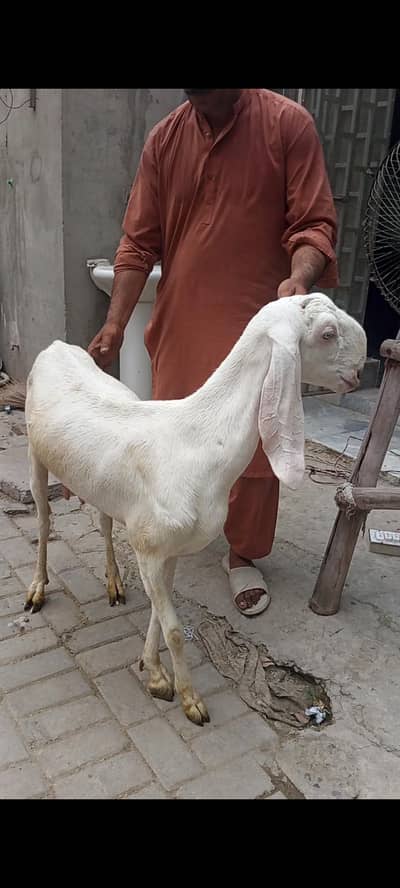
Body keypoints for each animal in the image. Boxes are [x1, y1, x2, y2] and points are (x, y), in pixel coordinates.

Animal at [25, 293, 366, 724]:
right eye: (327, 333)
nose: (359, 371)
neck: (198, 442)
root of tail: (57, 346)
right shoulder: (150, 547)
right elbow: (173, 628)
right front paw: (188, 698)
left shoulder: (165, 549)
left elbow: (159, 614)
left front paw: (154, 673)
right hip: (34, 455)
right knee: (42, 520)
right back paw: (37, 590)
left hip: (98, 484)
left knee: (103, 523)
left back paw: (114, 583)